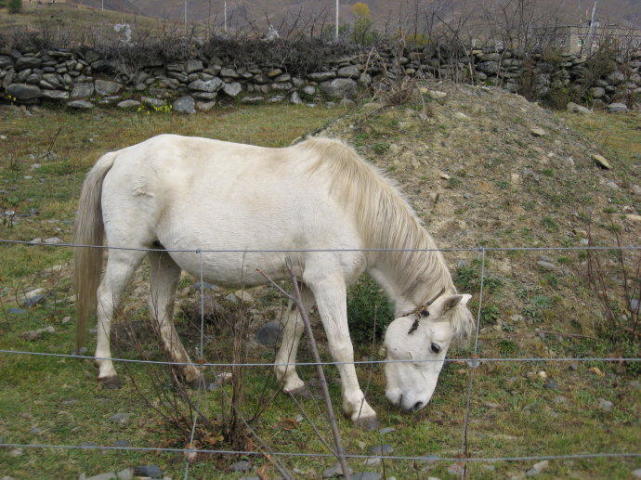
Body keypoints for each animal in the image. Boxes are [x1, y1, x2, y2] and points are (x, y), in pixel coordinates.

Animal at [75, 133, 476, 426]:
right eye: (435, 346)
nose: (416, 404)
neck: (351, 208)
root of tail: (121, 156)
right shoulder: (328, 282)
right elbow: (340, 345)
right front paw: (359, 407)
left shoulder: (306, 283)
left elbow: (295, 327)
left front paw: (290, 380)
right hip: (127, 253)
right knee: (107, 299)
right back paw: (107, 369)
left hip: (164, 258)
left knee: (160, 310)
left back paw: (191, 374)